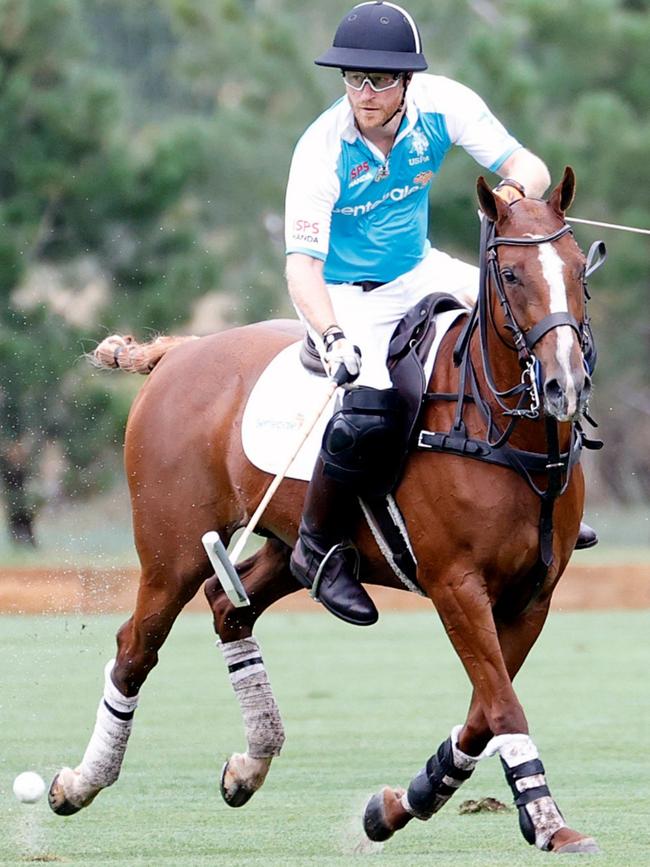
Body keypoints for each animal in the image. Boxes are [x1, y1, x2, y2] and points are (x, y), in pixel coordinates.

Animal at [48, 170, 600, 856]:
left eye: (578, 270)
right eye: (513, 276)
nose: (564, 385)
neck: (499, 431)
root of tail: (180, 352)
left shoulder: (532, 597)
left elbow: (483, 710)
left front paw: (397, 806)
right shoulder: (456, 585)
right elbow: (502, 706)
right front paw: (548, 821)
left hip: (287, 547)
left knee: (230, 603)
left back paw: (250, 764)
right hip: (170, 550)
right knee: (136, 646)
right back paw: (78, 783)